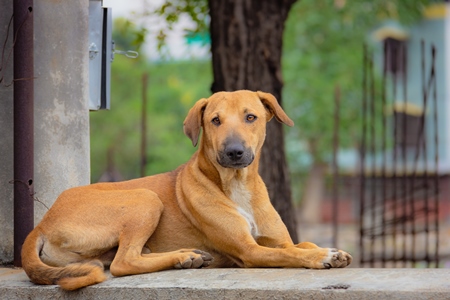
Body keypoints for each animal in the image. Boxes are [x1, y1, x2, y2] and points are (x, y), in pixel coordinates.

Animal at [21, 90, 352, 290]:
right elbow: (292, 254)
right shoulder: (249, 251)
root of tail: (42, 223)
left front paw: (325, 249)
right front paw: (323, 256)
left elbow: (299, 244)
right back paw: (182, 257)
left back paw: (186, 256)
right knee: (123, 263)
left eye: (251, 117)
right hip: (145, 198)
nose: (233, 152)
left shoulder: (278, 240)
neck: (237, 185)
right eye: (215, 120)